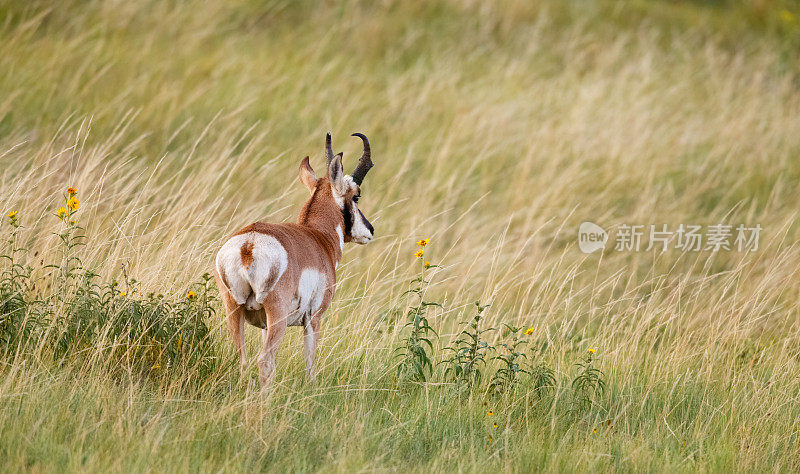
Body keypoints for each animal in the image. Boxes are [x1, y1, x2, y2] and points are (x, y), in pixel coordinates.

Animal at [212, 132, 376, 388]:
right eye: (357, 196)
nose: (370, 230)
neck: (317, 237)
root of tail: (249, 242)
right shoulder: (313, 319)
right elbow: (310, 363)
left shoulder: (263, 324)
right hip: (277, 317)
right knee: (264, 361)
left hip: (234, 310)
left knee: (243, 361)